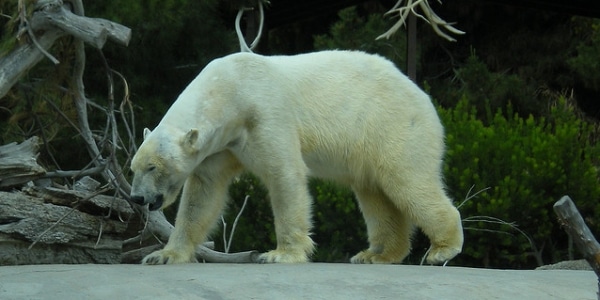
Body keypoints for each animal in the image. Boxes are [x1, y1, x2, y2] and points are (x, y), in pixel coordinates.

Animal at [127, 49, 464, 264]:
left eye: (153, 167)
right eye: (133, 168)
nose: (137, 198)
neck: (231, 89)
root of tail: (424, 96)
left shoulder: (265, 113)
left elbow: (284, 173)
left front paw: (280, 254)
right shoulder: (222, 145)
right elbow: (202, 196)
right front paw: (162, 255)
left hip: (393, 126)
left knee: (407, 181)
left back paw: (442, 250)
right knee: (375, 194)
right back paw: (375, 255)